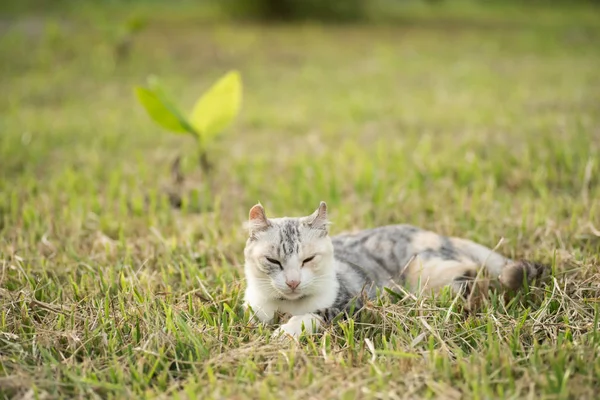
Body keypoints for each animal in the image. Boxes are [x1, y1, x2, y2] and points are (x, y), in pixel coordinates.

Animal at [241, 200, 548, 338]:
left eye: (307, 260)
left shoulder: (350, 304)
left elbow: (312, 316)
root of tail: (435, 234)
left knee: (474, 276)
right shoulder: (253, 311)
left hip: (426, 270)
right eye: (274, 261)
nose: (293, 282)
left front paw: (286, 332)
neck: (286, 305)